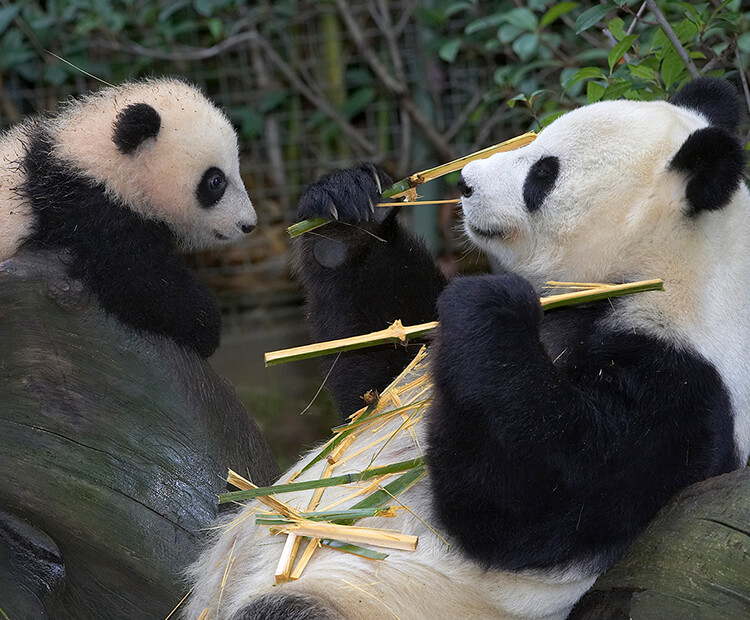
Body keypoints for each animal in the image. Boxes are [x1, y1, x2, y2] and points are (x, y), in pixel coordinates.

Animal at [188, 78, 750, 620]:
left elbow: (534, 499)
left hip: (375, 599)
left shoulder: (680, 384)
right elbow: (380, 377)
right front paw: (346, 212)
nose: (465, 183)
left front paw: (491, 303)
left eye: (543, 174)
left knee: (288, 609)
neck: (663, 267)